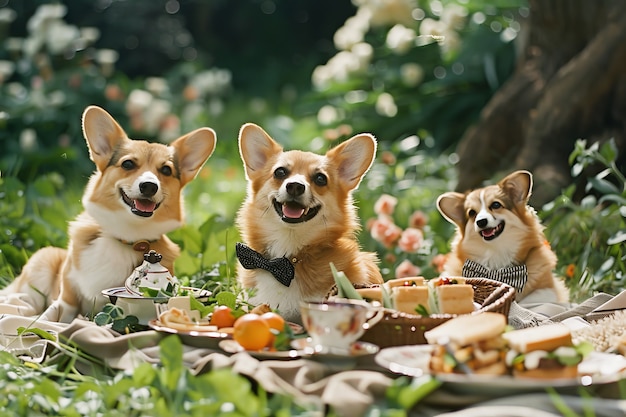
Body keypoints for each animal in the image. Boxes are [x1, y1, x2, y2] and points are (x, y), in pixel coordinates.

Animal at [1, 105, 214, 320]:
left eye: (166, 170)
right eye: (128, 164)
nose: (149, 186)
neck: (127, 234)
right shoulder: (66, 297)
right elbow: (54, 315)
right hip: (42, 263)